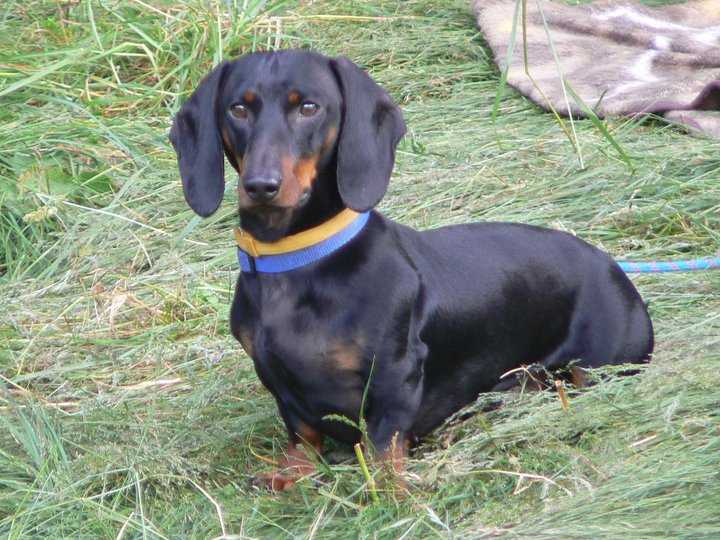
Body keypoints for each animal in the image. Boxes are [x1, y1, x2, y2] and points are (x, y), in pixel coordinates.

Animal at [172, 49, 656, 490]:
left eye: (308, 107)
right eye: (238, 108)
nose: (260, 185)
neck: (298, 260)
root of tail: (612, 265)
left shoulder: (394, 375)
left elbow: (384, 445)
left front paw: (390, 495)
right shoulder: (278, 380)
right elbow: (302, 433)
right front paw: (291, 475)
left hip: (598, 366)